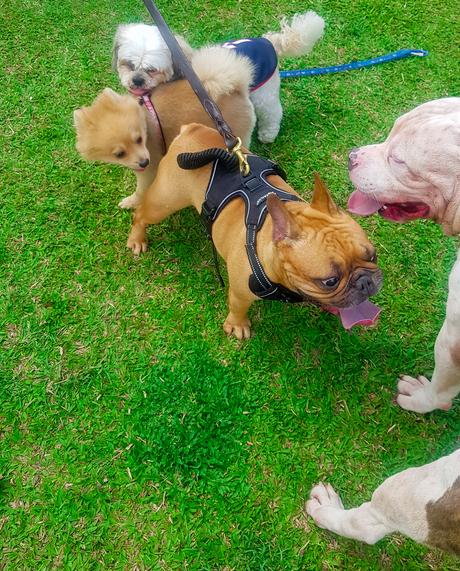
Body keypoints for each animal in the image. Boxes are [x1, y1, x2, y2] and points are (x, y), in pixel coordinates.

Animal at [74, 45, 256, 210]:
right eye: (119, 154)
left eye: (139, 139)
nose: (143, 161)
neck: (145, 118)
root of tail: (237, 90)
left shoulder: (150, 167)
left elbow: (141, 190)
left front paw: (131, 202)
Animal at [113, 12, 326, 143]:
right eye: (128, 65)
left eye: (152, 70)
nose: (137, 80)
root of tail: (269, 41)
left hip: (264, 93)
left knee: (272, 112)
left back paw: (268, 134)